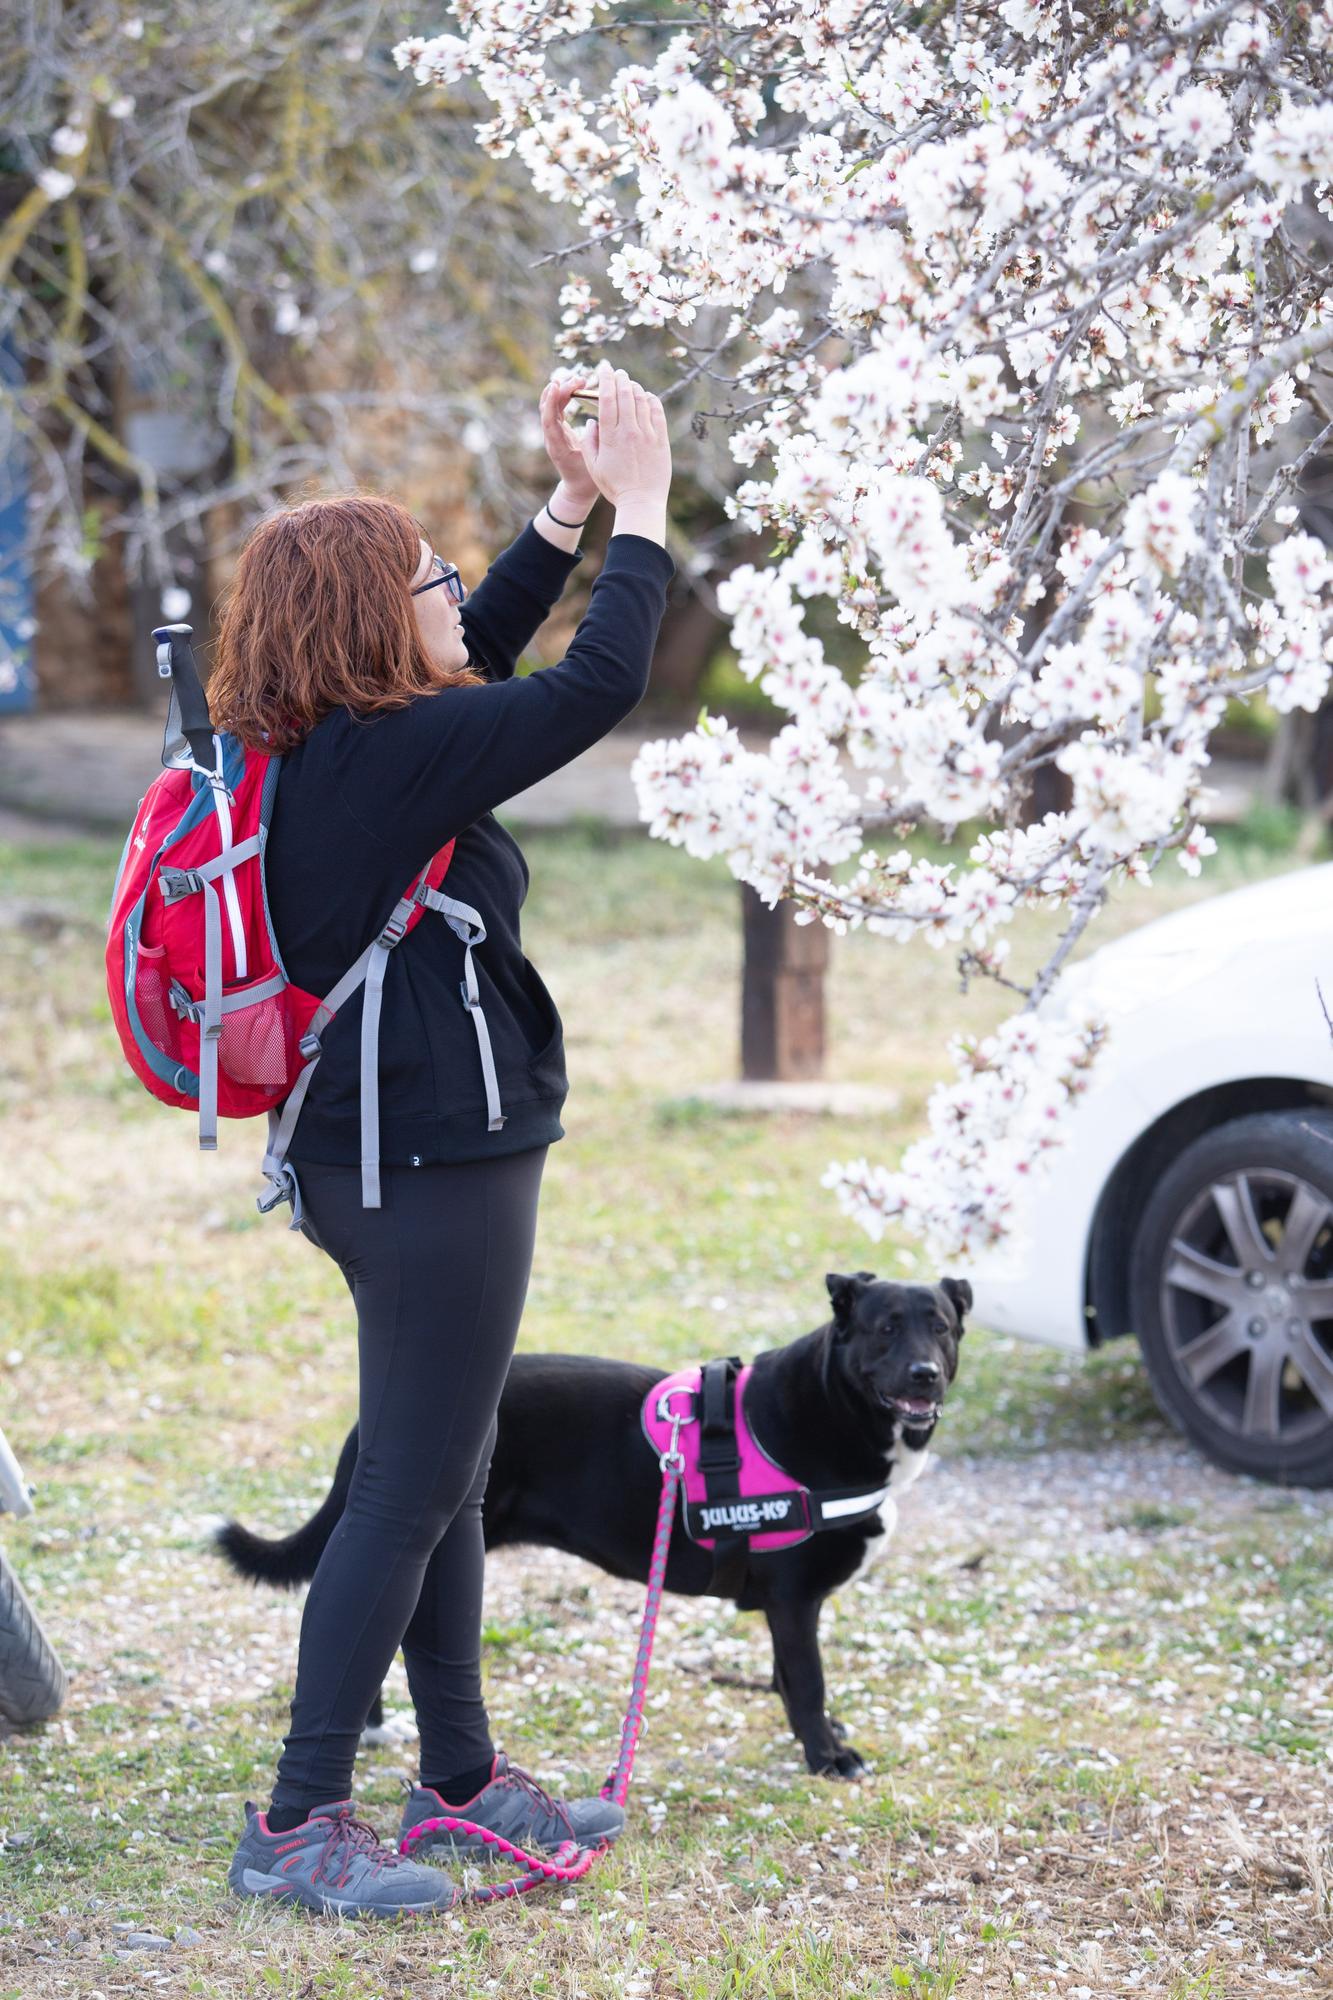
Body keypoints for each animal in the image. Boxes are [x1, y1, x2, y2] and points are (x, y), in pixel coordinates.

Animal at [215, 1272, 964, 1776]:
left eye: (942, 1327)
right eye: (886, 1329)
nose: (925, 1374)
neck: (834, 1407)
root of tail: (369, 1429)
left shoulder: (789, 1609)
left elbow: (787, 1677)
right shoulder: (792, 1599)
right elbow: (806, 1682)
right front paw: (827, 1757)